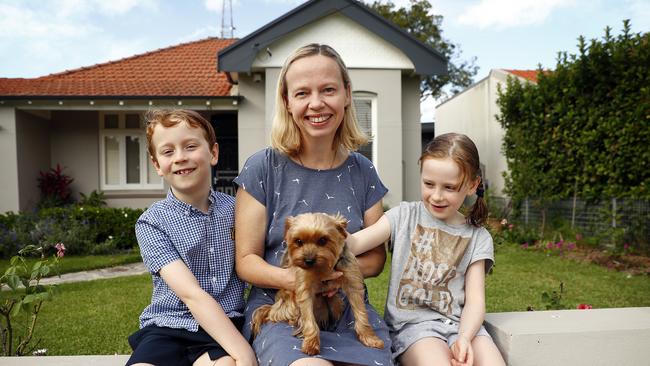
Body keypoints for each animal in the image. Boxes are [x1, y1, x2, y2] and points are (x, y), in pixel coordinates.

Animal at [252, 212, 384, 354]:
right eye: (299, 241)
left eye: (323, 240)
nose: (309, 260)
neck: (323, 267)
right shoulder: (304, 286)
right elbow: (309, 318)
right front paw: (311, 344)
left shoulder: (352, 280)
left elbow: (361, 313)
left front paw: (370, 338)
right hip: (290, 305)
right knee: (283, 315)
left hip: (336, 302)